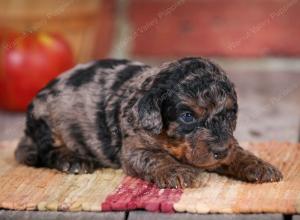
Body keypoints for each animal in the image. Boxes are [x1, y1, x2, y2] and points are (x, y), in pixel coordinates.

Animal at [15, 56, 282, 187]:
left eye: (228, 115)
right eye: (187, 116)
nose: (219, 151)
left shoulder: (227, 141)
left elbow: (237, 151)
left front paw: (259, 166)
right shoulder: (135, 148)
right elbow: (155, 158)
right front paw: (178, 172)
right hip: (45, 122)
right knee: (43, 151)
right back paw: (73, 160)